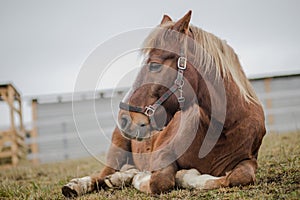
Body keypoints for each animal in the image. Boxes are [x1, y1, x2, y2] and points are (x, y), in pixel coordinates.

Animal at [61, 10, 264, 197]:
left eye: (155, 65)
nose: (124, 118)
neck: (220, 129)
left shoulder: (249, 160)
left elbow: (240, 177)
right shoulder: (162, 155)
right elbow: (161, 181)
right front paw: (147, 176)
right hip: (116, 150)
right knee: (102, 175)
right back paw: (78, 185)